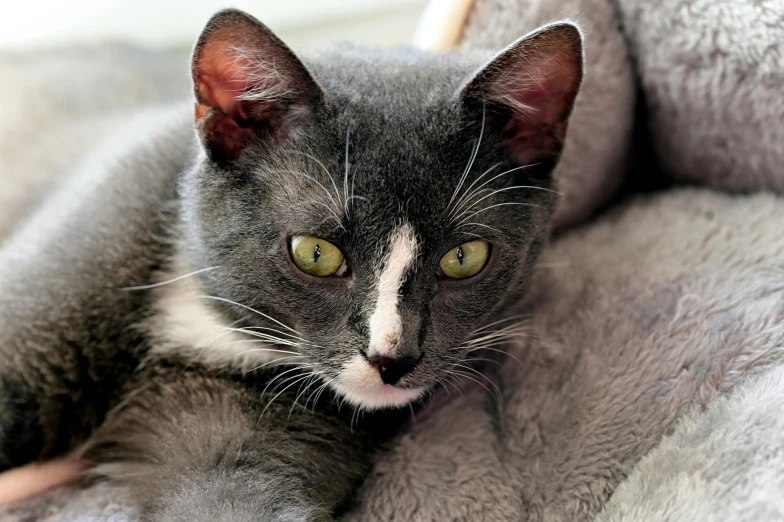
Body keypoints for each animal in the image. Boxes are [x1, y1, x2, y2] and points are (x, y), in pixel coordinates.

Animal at [0, 9, 580, 520]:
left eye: (464, 257)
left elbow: (229, 490)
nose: (391, 358)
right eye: (314, 253)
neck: (210, 321)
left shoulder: (261, 426)